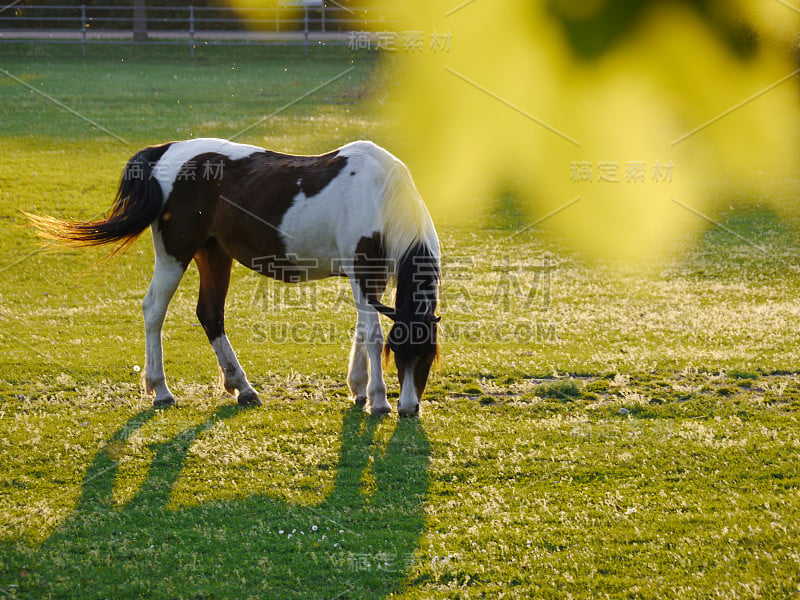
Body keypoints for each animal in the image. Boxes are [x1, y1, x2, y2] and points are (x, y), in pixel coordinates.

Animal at [29, 138, 444, 414]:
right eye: (399, 354)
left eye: (428, 356)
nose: (409, 408)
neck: (380, 192)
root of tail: (164, 151)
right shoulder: (363, 272)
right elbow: (372, 335)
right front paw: (378, 399)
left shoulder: (372, 281)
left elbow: (361, 331)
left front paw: (358, 389)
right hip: (175, 255)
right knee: (154, 311)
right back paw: (161, 389)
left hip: (214, 256)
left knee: (210, 315)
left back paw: (241, 387)